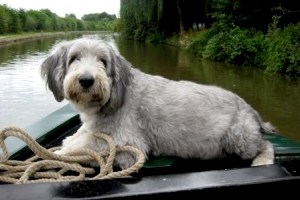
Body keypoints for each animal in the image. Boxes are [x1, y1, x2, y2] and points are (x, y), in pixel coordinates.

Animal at [41, 37, 276, 169]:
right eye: (74, 58)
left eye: (103, 61)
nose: (86, 80)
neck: (114, 98)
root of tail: (249, 107)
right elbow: (80, 135)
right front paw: (64, 142)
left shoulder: (128, 144)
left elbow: (83, 145)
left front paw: (58, 154)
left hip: (239, 138)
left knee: (267, 145)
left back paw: (263, 160)